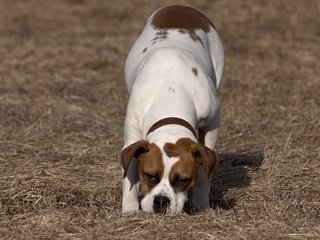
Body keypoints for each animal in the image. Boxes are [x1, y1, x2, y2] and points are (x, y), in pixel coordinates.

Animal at [120, 5, 225, 214]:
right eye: (150, 175)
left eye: (182, 180)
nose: (161, 201)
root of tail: (181, 7)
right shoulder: (132, 138)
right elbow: (129, 175)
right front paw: (129, 209)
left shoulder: (211, 125)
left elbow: (204, 174)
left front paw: (201, 204)